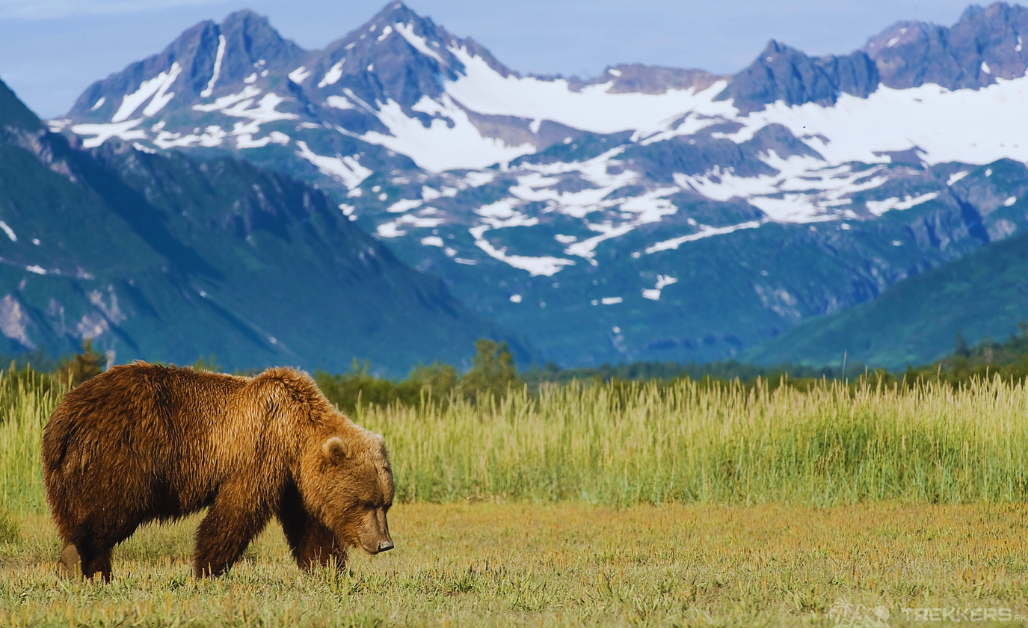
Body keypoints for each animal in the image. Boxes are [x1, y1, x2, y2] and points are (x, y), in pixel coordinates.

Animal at [42, 361, 392, 583]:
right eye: (365, 503)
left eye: (385, 504)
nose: (384, 544)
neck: (295, 435)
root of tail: (64, 414)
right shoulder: (259, 451)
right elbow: (235, 512)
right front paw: (206, 570)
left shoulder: (295, 482)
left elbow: (310, 527)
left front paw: (330, 569)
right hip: (122, 455)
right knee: (109, 510)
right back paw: (78, 562)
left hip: (68, 470)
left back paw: (91, 570)